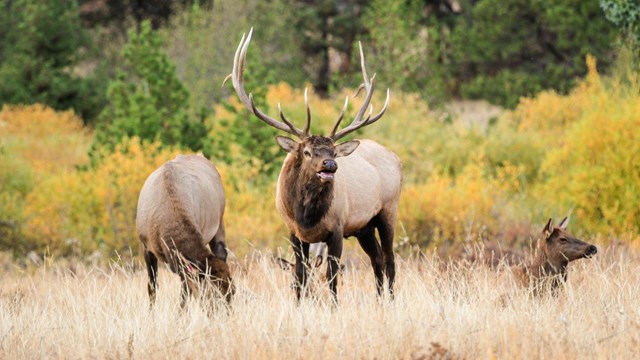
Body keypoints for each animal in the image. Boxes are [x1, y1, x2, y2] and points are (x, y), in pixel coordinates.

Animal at [136, 153, 234, 308]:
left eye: (232, 291)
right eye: (211, 293)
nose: (228, 312)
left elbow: (185, 293)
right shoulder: (147, 247)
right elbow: (152, 287)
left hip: (219, 221)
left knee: (221, 251)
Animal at [226, 29, 400, 302]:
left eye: (334, 151)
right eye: (307, 152)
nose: (330, 165)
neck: (306, 216)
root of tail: (396, 158)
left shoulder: (337, 229)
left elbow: (332, 277)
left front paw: (334, 306)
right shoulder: (294, 233)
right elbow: (299, 276)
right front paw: (299, 304)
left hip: (388, 210)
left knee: (390, 259)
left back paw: (390, 301)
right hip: (364, 227)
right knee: (377, 260)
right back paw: (379, 300)